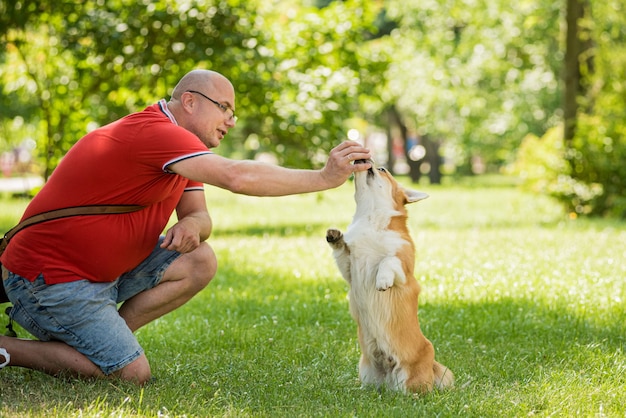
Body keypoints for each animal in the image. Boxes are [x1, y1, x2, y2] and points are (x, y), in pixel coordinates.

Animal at [324, 158, 450, 394]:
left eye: (382, 169)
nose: (363, 158)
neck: (370, 219)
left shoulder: (404, 267)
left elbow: (387, 261)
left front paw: (382, 281)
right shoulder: (349, 267)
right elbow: (342, 250)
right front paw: (335, 237)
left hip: (410, 378)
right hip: (365, 369)